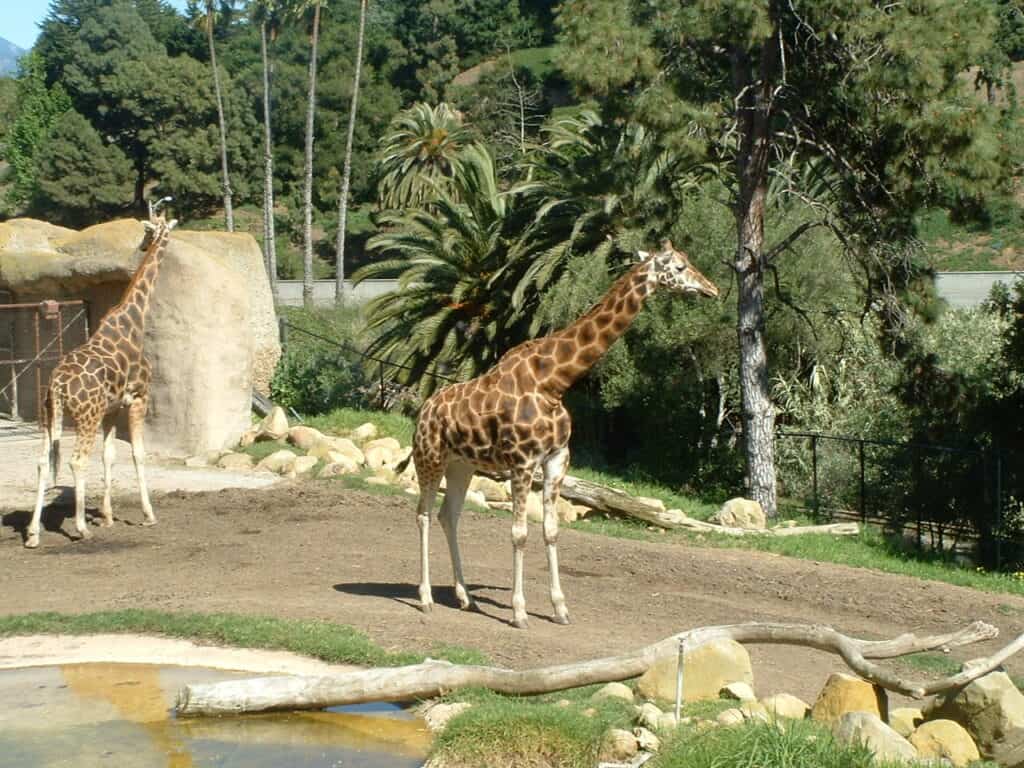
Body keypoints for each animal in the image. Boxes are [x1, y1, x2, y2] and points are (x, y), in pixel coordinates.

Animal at [25, 204, 178, 549]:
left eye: (147, 231)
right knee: (76, 460)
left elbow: (109, 456)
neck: (132, 322)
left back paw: (33, 534)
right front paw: (149, 515)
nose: (142, 246)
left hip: (50, 416)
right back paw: (81, 528)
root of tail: (57, 385)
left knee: (42, 462)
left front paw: (108, 516)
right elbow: (137, 453)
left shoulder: (112, 409)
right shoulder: (137, 398)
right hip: (86, 415)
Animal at [403, 240, 719, 628]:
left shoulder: (557, 458)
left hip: (461, 464)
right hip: (430, 458)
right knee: (423, 514)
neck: (553, 382)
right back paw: (426, 598)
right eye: (678, 267)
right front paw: (520, 612)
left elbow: (551, 531)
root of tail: (424, 409)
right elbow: (519, 533)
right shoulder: (522, 462)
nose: (711, 289)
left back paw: (465, 598)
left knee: (449, 515)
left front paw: (560, 608)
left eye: (688, 262)